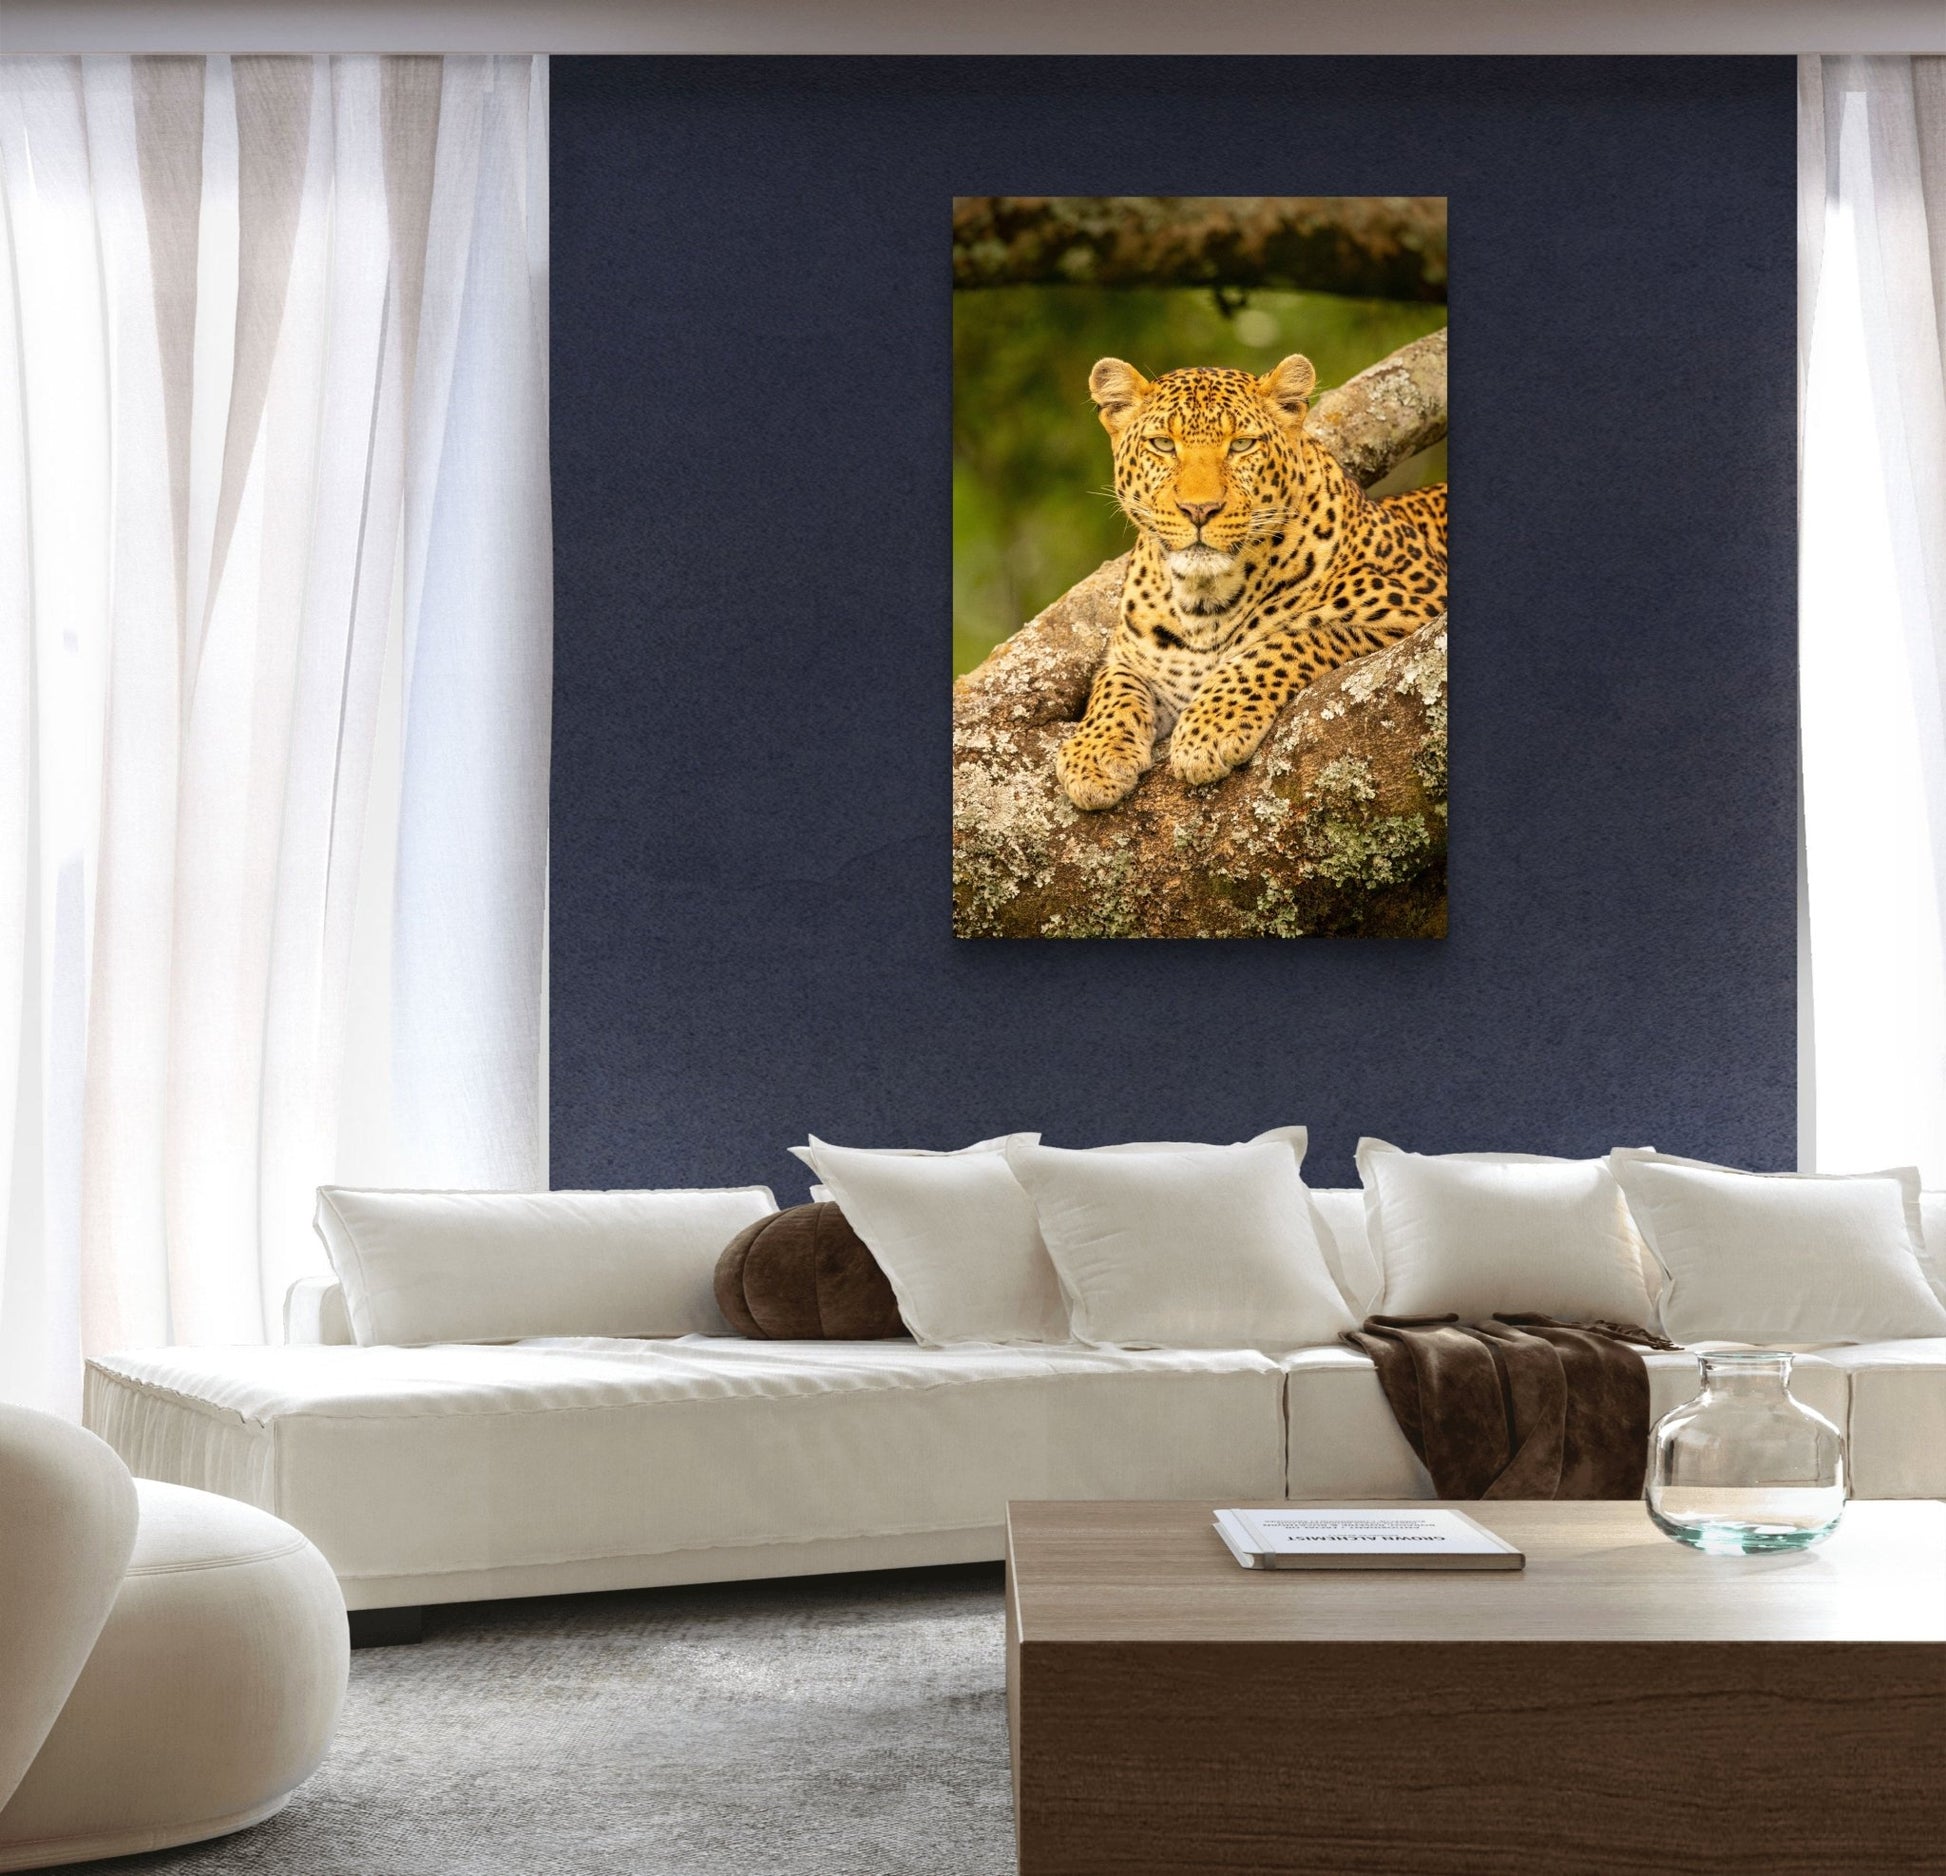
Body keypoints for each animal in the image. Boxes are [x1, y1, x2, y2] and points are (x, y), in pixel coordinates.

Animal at [1055, 351, 1447, 812]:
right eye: (1163, 444)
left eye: (1241, 444)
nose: (1199, 509)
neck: (1202, 600)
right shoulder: (1133, 655)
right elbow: (1113, 685)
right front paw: (1094, 754)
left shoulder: (1418, 602)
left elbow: (1286, 641)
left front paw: (1210, 728)